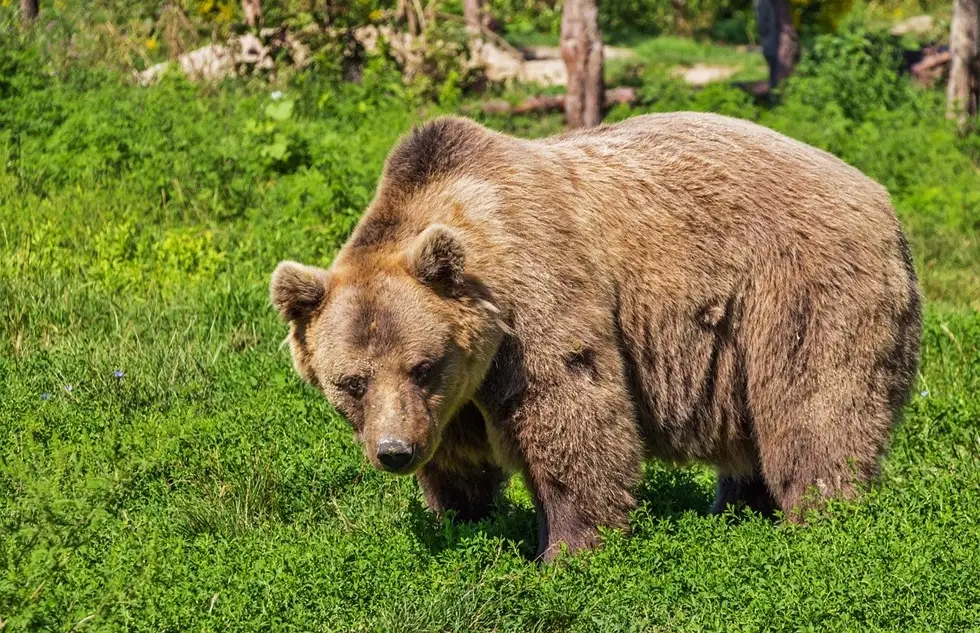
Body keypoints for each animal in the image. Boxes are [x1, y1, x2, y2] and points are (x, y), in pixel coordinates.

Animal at [272, 112, 924, 556]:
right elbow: (458, 461)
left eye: (421, 365)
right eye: (351, 382)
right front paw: (461, 521)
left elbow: (572, 416)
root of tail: (881, 198)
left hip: (800, 289)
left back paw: (820, 521)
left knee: (815, 408)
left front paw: (566, 550)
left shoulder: (535, 302)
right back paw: (737, 511)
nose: (394, 452)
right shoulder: (452, 397)